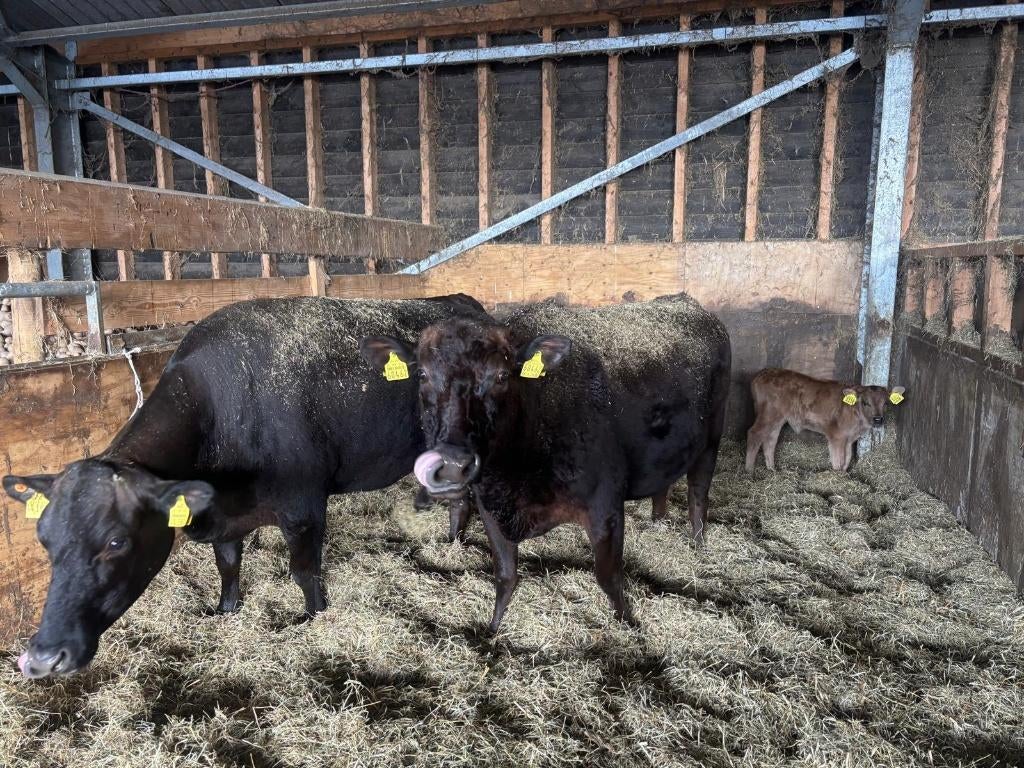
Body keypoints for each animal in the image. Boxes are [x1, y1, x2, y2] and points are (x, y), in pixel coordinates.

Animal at [3, 294, 487, 679]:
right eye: (44, 541)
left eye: (117, 541)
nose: (42, 658)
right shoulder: (224, 514)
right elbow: (228, 564)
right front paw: (226, 610)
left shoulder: (303, 507)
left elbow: (304, 572)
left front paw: (314, 619)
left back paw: (454, 545)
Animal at [361, 294, 731, 632]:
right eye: (422, 374)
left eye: (501, 376)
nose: (452, 464)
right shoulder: (490, 508)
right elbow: (505, 575)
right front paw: (494, 629)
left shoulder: (605, 505)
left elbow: (608, 575)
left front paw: (629, 624)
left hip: (711, 440)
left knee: (699, 494)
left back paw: (699, 547)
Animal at [745, 368, 906, 472]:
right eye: (866, 402)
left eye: (886, 403)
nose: (878, 419)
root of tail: (762, 374)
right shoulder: (836, 436)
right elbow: (838, 461)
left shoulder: (848, 440)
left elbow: (847, 460)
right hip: (769, 413)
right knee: (755, 433)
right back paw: (749, 471)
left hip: (777, 418)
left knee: (770, 440)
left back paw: (772, 469)